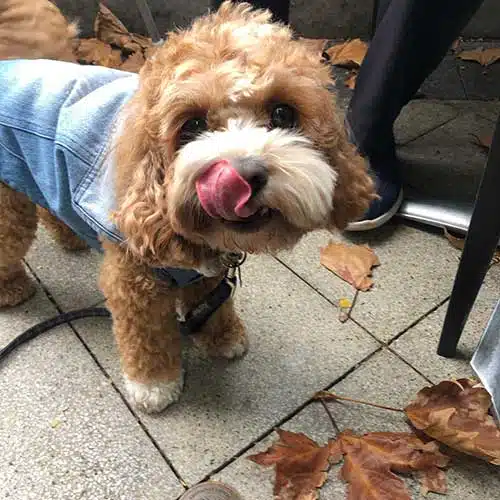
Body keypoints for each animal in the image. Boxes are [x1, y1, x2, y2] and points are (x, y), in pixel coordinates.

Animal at [0, 1, 376, 412]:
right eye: (192, 125)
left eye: (282, 114)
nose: (243, 176)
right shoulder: (134, 280)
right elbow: (147, 337)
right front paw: (154, 385)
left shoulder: (209, 271)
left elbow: (213, 302)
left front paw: (223, 337)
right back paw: (12, 290)